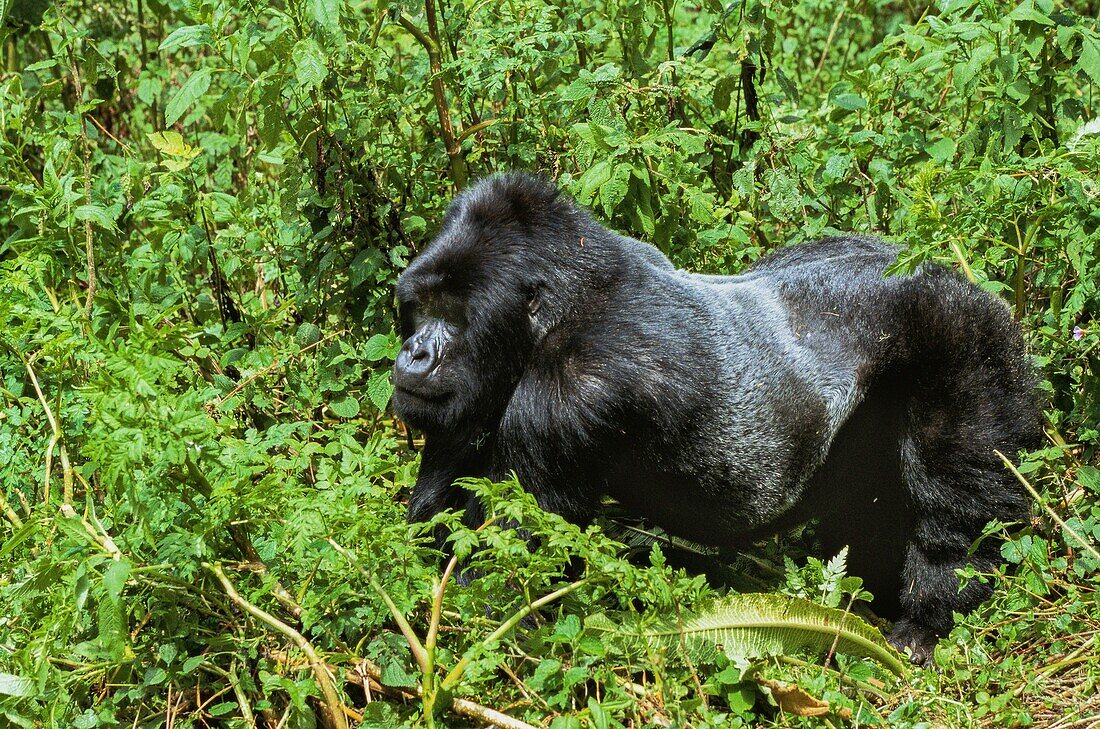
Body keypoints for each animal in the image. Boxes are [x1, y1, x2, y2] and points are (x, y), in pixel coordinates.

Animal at [393, 173, 1038, 664]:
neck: (567, 302)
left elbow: (510, 571)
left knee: (955, 497)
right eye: (420, 307)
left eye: (455, 315)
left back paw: (927, 618)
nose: (414, 354)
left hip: (962, 335)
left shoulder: (563, 394)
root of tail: (958, 277)